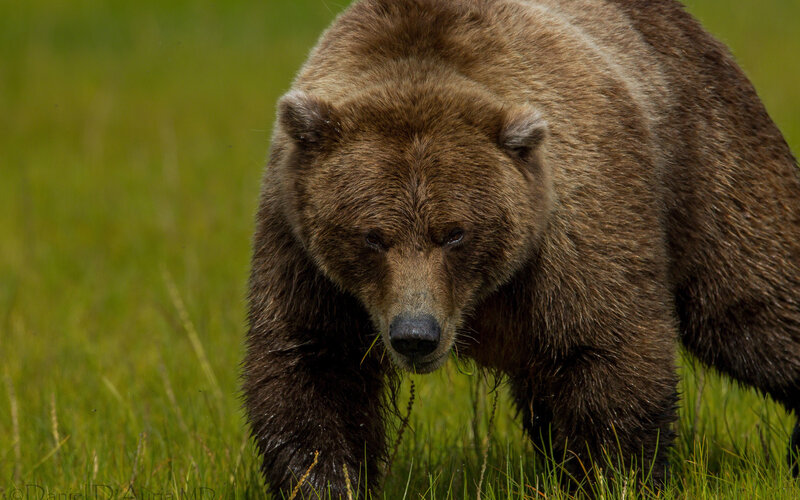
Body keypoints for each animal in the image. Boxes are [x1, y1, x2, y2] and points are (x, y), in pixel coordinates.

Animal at [243, 0, 800, 496]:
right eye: (372, 236)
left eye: (455, 233)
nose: (415, 335)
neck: (480, 298)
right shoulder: (299, 247)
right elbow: (311, 368)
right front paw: (326, 482)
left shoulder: (574, 226)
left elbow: (609, 352)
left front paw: (615, 476)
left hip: (704, 151)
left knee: (752, 301)